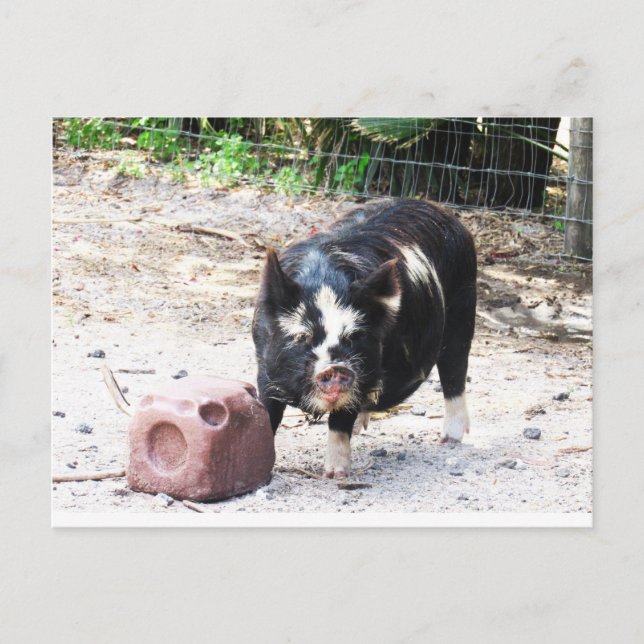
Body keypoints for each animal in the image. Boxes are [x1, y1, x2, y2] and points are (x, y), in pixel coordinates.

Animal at [252, 199, 476, 478]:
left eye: (354, 336)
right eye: (303, 336)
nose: (335, 367)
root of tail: (444, 212)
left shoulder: (364, 374)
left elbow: (340, 421)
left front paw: (335, 475)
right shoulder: (264, 366)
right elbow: (267, 412)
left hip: (463, 311)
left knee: (455, 374)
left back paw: (448, 441)